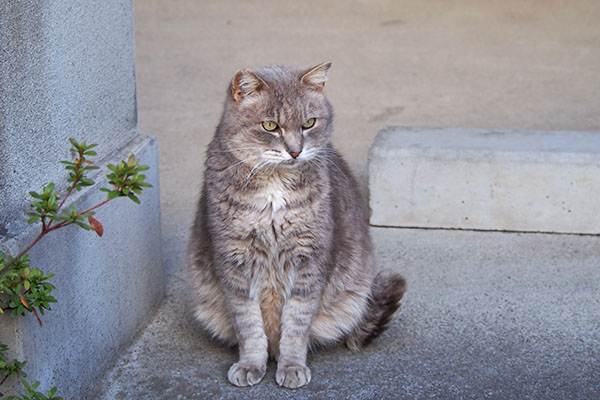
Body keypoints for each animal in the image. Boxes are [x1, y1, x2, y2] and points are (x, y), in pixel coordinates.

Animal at [188, 61, 408, 388]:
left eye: (309, 123)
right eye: (270, 126)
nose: (295, 151)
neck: (274, 188)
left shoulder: (310, 259)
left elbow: (297, 322)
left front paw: (292, 365)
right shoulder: (233, 260)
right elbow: (248, 323)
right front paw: (250, 364)